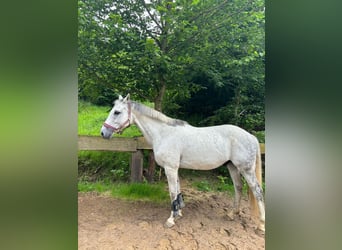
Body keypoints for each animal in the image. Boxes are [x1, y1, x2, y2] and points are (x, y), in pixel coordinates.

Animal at [100, 94, 266, 232]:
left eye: (116, 112)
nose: (103, 133)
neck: (164, 134)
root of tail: (251, 136)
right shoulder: (175, 168)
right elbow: (178, 191)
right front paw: (178, 213)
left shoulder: (170, 168)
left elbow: (173, 192)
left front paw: (171, 220)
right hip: (232, 166)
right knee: (238, 187)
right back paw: (232, 213)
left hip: (246, 169)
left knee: (257, 191)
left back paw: (261, 225)